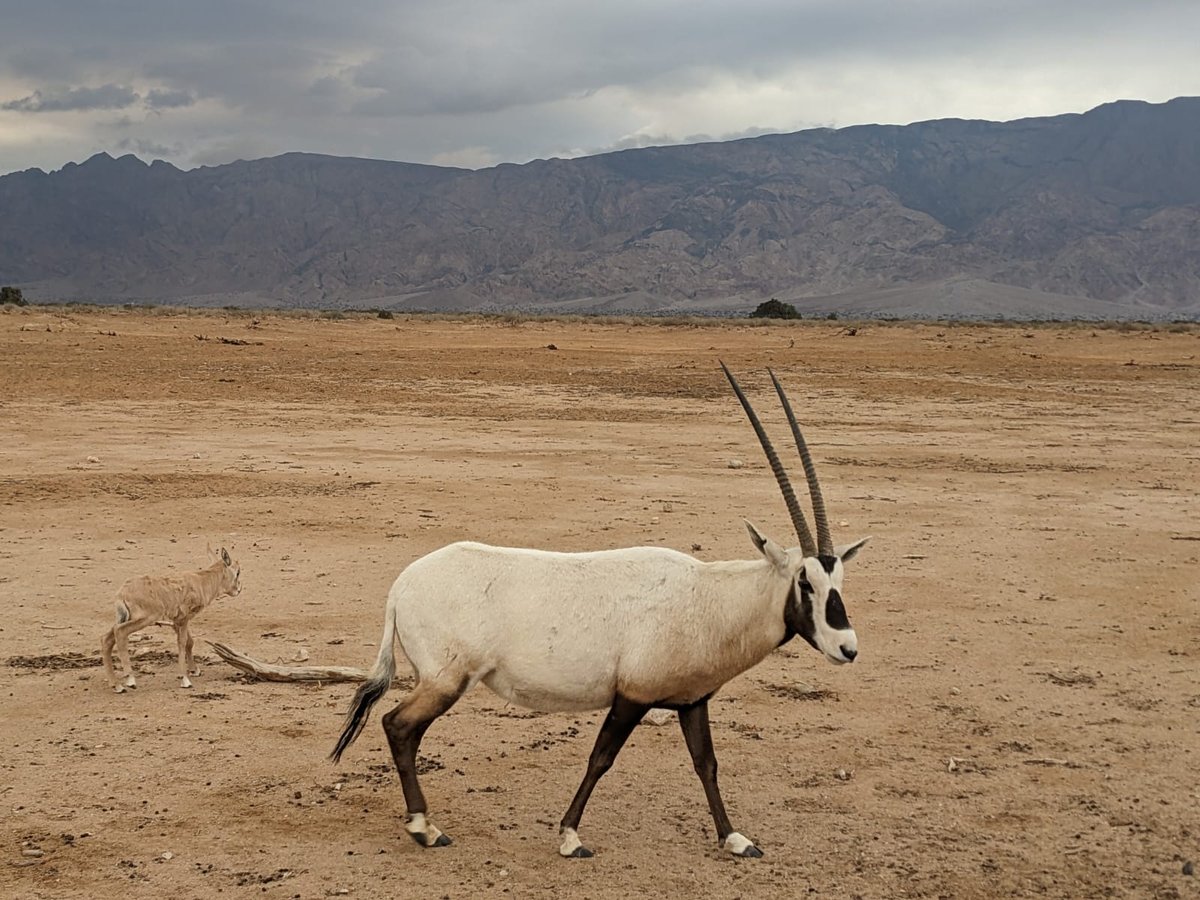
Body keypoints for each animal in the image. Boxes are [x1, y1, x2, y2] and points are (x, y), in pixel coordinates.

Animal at [100, 547, 241, 696]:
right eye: (238, 571)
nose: (238, 589)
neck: (201, 581)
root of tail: (122, 593)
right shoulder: (184, 618)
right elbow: (182, 642)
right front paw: (185, 679)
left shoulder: (176, 621)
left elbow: (189, 642)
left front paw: (194, 670)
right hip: (144, 619)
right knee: (120, 632)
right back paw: (130, 680)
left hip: (124, 618)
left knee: (106, 639)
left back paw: (117, 685)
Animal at [333, 367, 868, 859]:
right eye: (805, 582)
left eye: (839, 579)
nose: (848, 648)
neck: (708, 596)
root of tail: (401, 587)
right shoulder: (632, 696)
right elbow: (601, 759)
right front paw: (570, 837)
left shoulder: (692, 700)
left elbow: (706, 764)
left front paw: (736, 839)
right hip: (445, 680)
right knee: (398, 726)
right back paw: (425, 828)